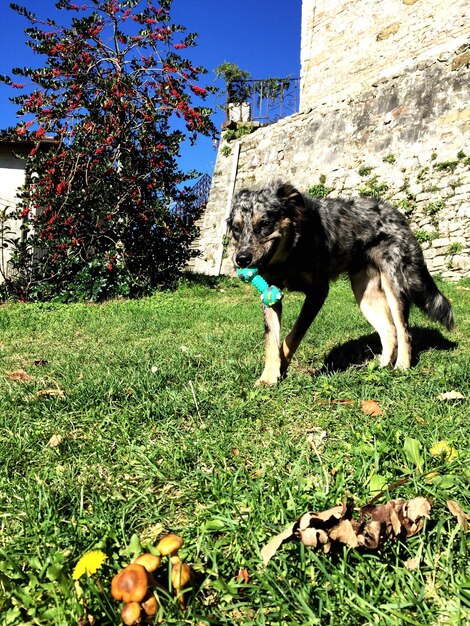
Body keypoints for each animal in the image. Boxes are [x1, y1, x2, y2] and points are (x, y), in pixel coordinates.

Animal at [228, 182, 456, 386]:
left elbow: (293, 336)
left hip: (394, 285)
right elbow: (271, 340)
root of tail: (396, 214)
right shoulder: (270, 293)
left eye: (264, 224)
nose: (241, 259)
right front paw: (269, 376)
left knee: (403, 330)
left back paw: (402, 366)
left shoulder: (318, 292)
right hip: (365, 296)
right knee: (389, 330)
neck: (291, 252)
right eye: (236, 229)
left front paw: (282, 365)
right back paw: (381, 366)